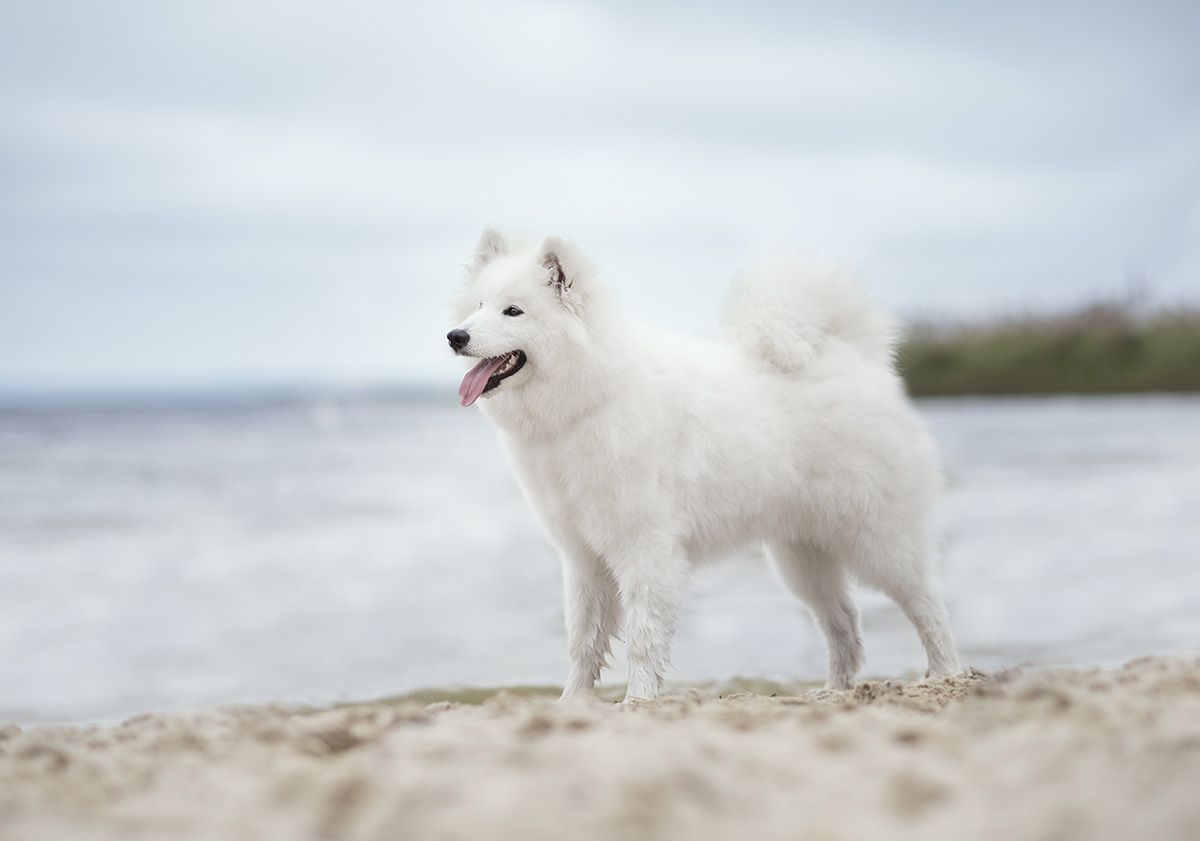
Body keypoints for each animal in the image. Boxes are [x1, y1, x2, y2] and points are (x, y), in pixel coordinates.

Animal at [446, 227, 960, 695]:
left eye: (514, 311)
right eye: (477, 306)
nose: (455, 335)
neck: (588, 399)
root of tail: (851, 356)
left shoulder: (647, 550)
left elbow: (643, 638)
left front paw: (638, 700)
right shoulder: (583, 558)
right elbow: (583, 644)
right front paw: (574, 703)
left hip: (879, 540)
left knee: (928, 607)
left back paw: (945, 675)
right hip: (802, 557)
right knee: (843, 622)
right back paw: (833, 692)